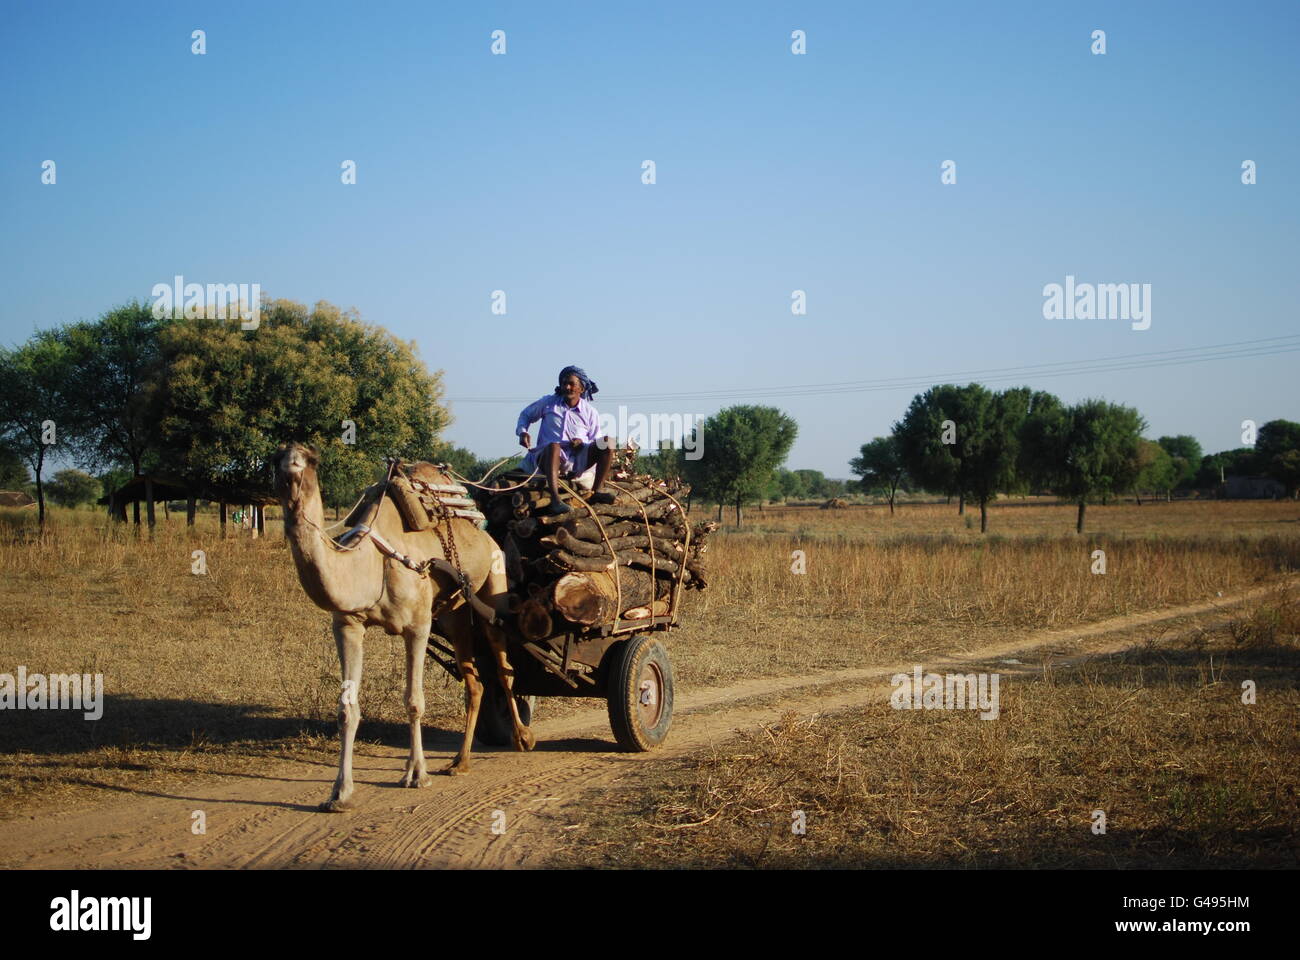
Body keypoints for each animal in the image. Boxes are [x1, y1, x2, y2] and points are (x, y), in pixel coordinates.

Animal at [271, 442, 535, 806]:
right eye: (275, 460)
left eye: (312, 459)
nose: (291, 472)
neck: (371, 562)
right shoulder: (348, 625)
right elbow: (346, 708)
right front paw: (339, 793)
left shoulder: (418, 625)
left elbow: (414, 700)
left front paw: (416, 774)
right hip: (454, 616)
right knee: (475, 683)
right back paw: (460, 762)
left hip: (494, 586)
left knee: (504, 669)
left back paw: (522, 738)